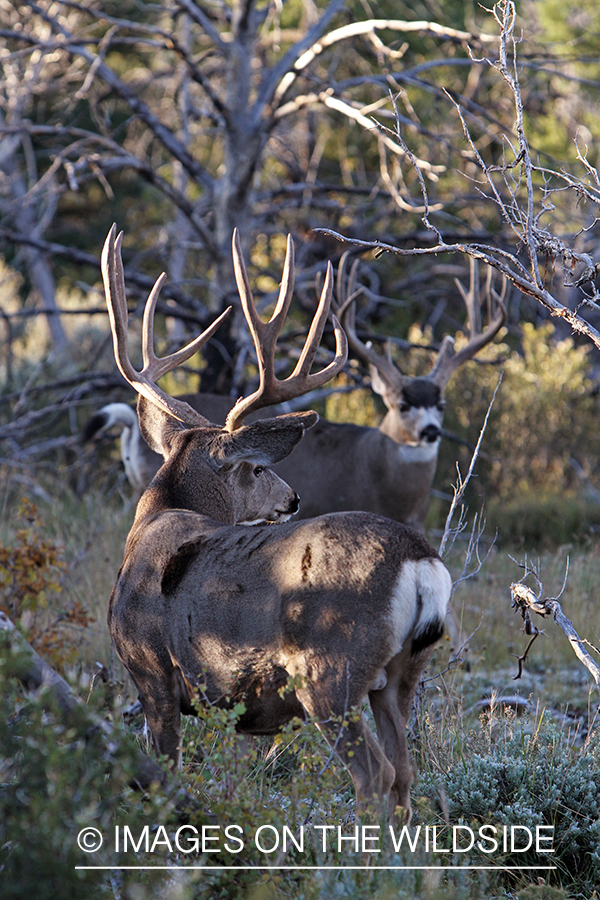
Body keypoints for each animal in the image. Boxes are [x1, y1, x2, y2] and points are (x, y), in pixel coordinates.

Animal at [101, 224, 452, 821]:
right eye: (260, 468)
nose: (291, 499)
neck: (150, 525)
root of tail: (420, 560)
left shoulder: (152, 674)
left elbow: (163, 773)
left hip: (331, 670)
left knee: (376, 775)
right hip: (402, 673)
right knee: (406, 772)